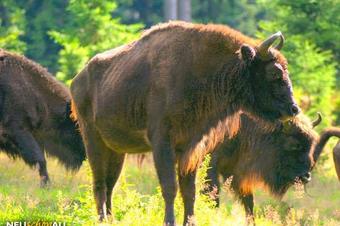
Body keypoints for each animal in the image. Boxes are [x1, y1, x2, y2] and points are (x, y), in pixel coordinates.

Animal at [70, 20, 298, 224]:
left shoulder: (190, 147)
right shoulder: (162, 143)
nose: (294, 109)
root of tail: (77, 80)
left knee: (110, 184)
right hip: (93, 140)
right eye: (274, 73)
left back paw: (110, 219)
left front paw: (190, 222)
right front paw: (169, 221)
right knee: (99, 183)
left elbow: (189, 191)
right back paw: (101, 219)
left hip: (117, 151)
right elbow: (170, 187)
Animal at [206, 114, 340, 223]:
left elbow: (249, 202)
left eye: (311, 145)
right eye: (294, 145)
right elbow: (213, 195)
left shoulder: (235, 172)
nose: (306, 177)